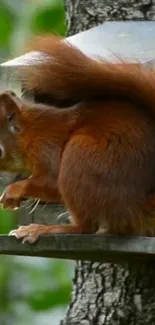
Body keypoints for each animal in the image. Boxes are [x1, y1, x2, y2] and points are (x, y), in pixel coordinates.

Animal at [0, 35, 155, 242]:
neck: (30, 131)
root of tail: (136, 211)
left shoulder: (46, 145)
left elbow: (51, 181)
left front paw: (14, 190)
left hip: (80, 157)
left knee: (85, 227)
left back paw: (45, 229)